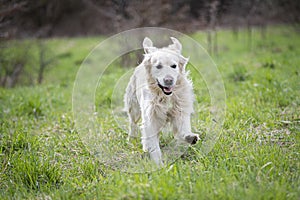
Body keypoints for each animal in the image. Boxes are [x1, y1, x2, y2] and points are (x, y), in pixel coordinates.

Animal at [124, 36, 199, 165]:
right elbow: (152, 142)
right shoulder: (150, 116)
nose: (168, 80)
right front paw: (158, 164)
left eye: (174, 66)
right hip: (134, 108)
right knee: (133, 124)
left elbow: (183, 128)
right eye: (158, 66)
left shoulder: (180, 110)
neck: (165, 96)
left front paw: (189, 137)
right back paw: (132, 139)